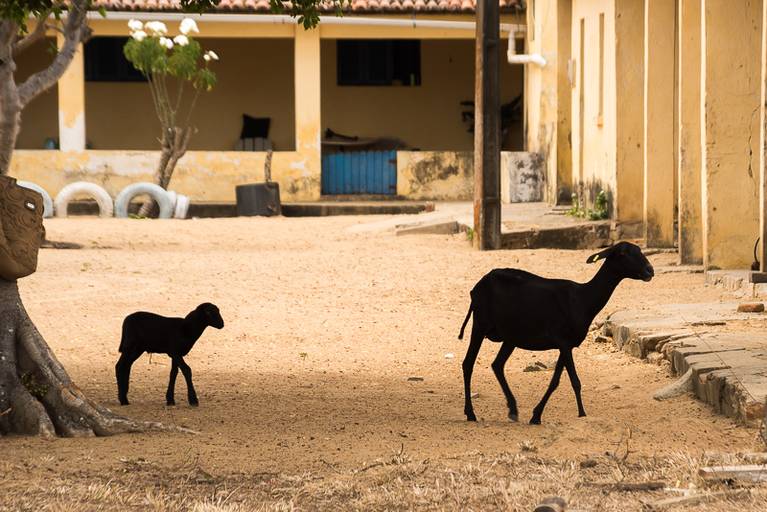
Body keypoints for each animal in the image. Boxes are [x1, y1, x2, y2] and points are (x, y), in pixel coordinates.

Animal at [458, 242, 653, 424]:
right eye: (622, 253)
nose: (649, 270)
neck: (583, 300)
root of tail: (477, 287)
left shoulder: (566, 345)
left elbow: (555, 382)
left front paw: (536, 416)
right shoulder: (563, 341)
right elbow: (575, 381)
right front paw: (582, 413)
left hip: (511, 336)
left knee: (497, 365)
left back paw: (513, 410)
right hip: (480, 324)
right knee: (468, 364)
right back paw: (471, 413)